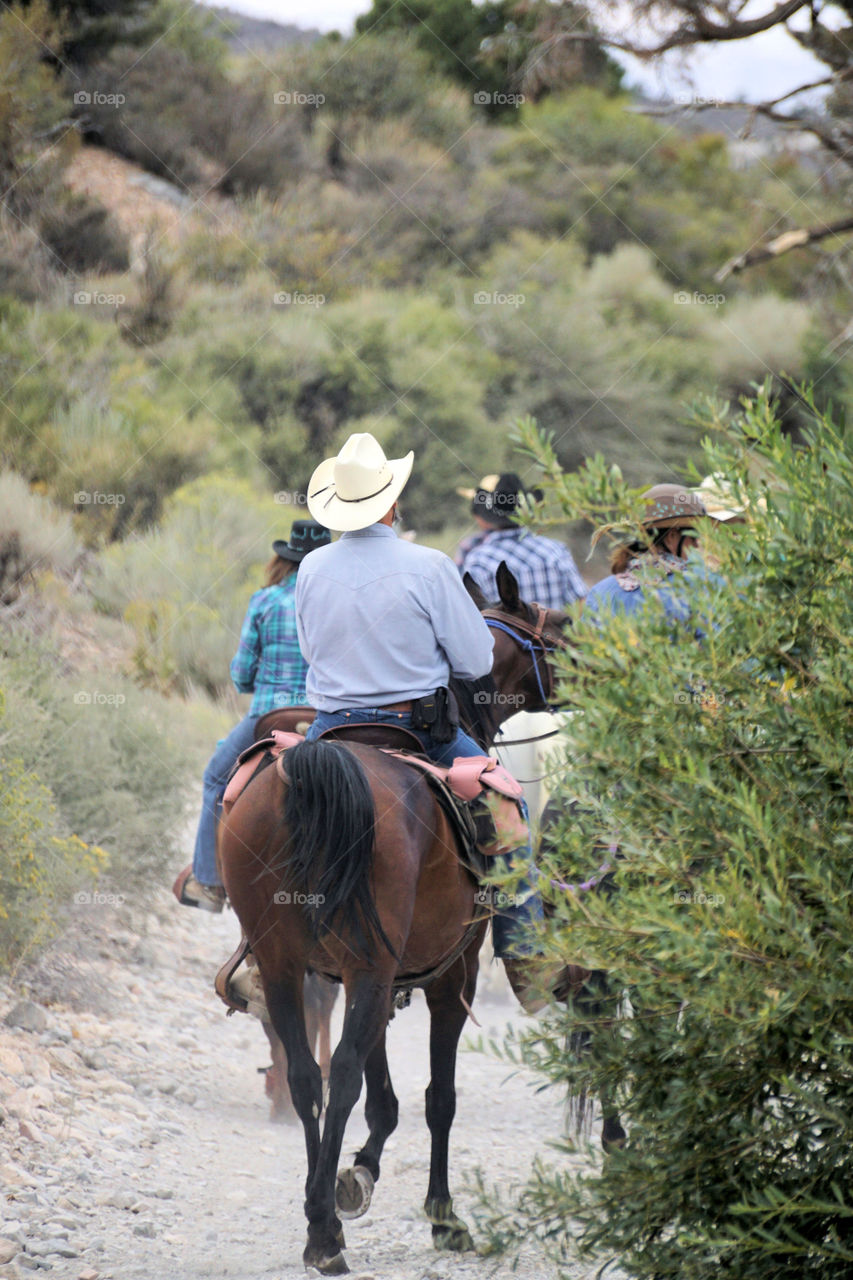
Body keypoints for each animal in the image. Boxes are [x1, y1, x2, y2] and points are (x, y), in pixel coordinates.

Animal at [216, 565, 568, 1274]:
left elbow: (382, 1097)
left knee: (309, 1075)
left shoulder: (370, 974)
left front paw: (353, 1177)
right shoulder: (448, 977)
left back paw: (319, 1218)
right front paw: (443, 1216)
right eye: (557, 629)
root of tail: (319, 767)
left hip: (289, 961)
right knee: (342, 1072)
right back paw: (325, 1237)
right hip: (376, 967)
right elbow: (437, 1098)